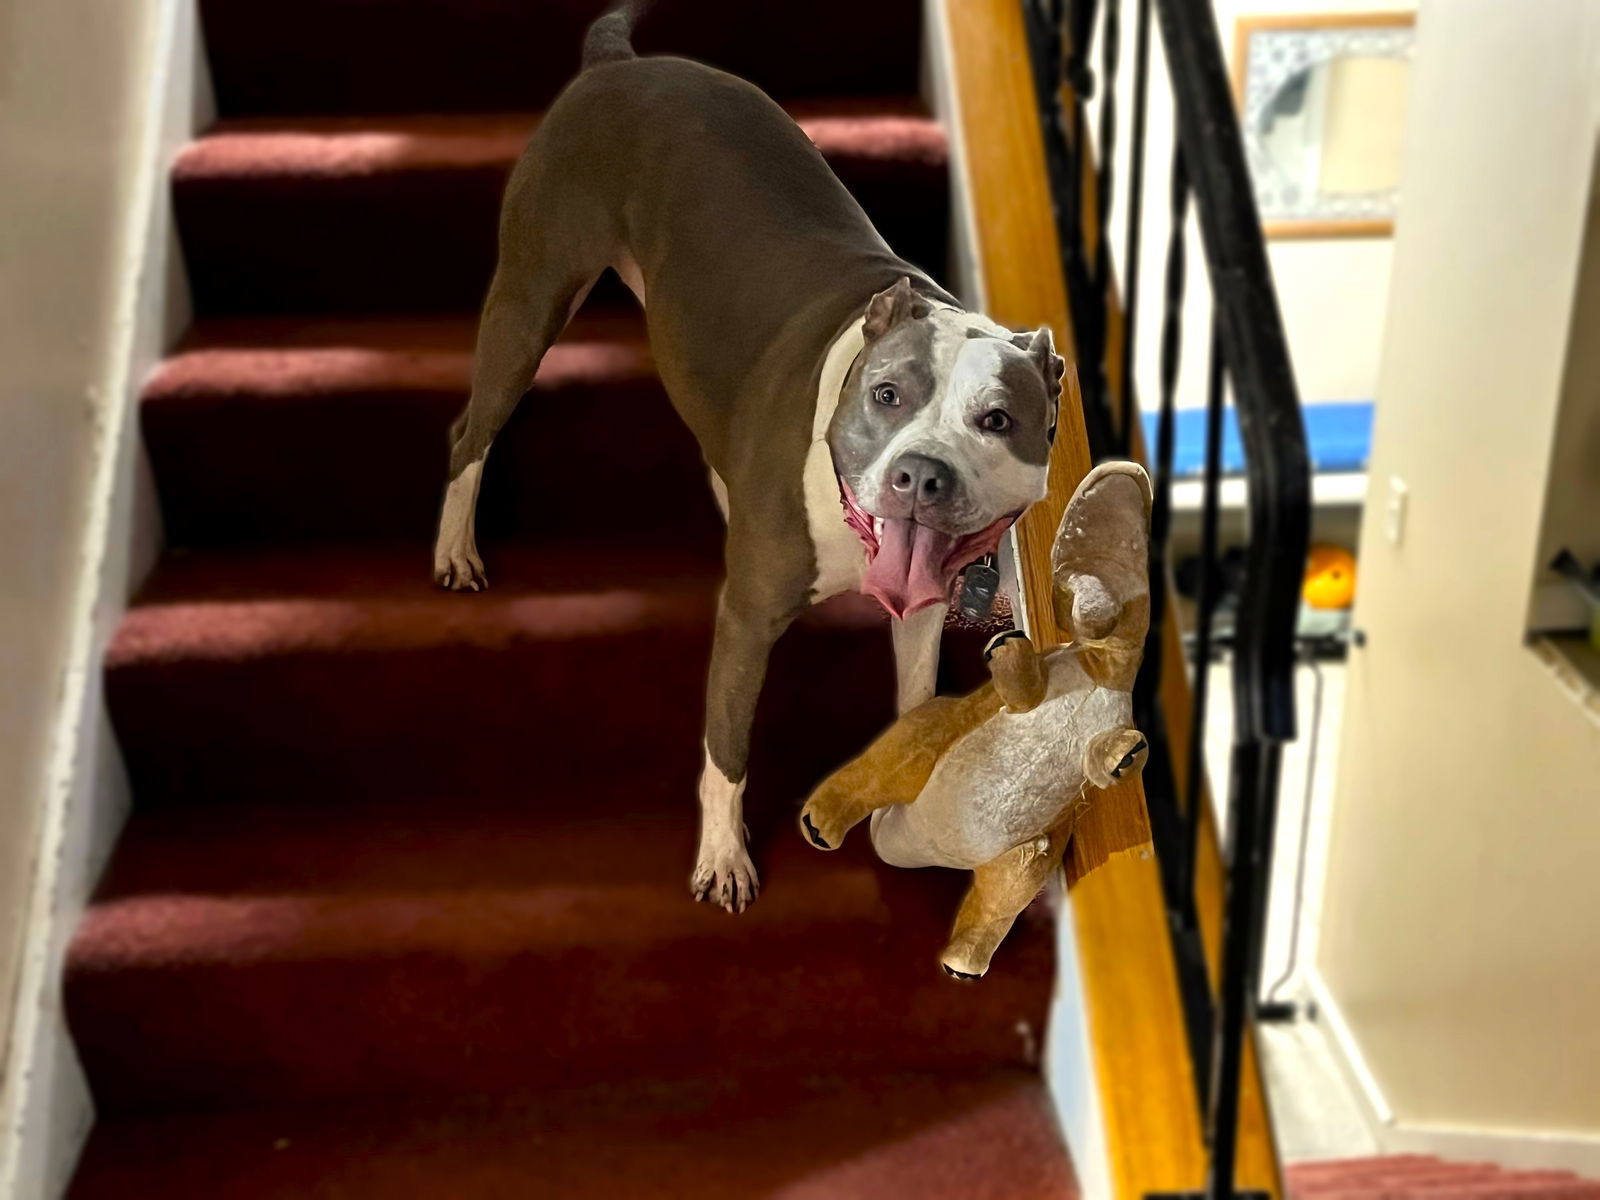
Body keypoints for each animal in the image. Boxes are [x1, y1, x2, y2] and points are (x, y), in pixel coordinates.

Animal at [432, 4, 1068, 915]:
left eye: (998, 420)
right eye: (887, 395)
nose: (921, 476)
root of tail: (617, 64)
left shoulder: (919, 611)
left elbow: (914, 704)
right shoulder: (745, 621)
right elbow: (726, 751)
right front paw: (724, 858)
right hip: (531, 294)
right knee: (470, 433)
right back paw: (455, 548)